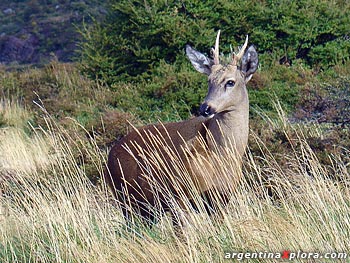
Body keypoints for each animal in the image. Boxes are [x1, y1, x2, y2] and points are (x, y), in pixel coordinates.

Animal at [105, 30, 258, 225]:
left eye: (230, 82)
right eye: (209, 80)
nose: (205, 108)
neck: (221, 154)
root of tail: (110, 154)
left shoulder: (221, 197)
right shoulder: (179, 192)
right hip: (126, 197)